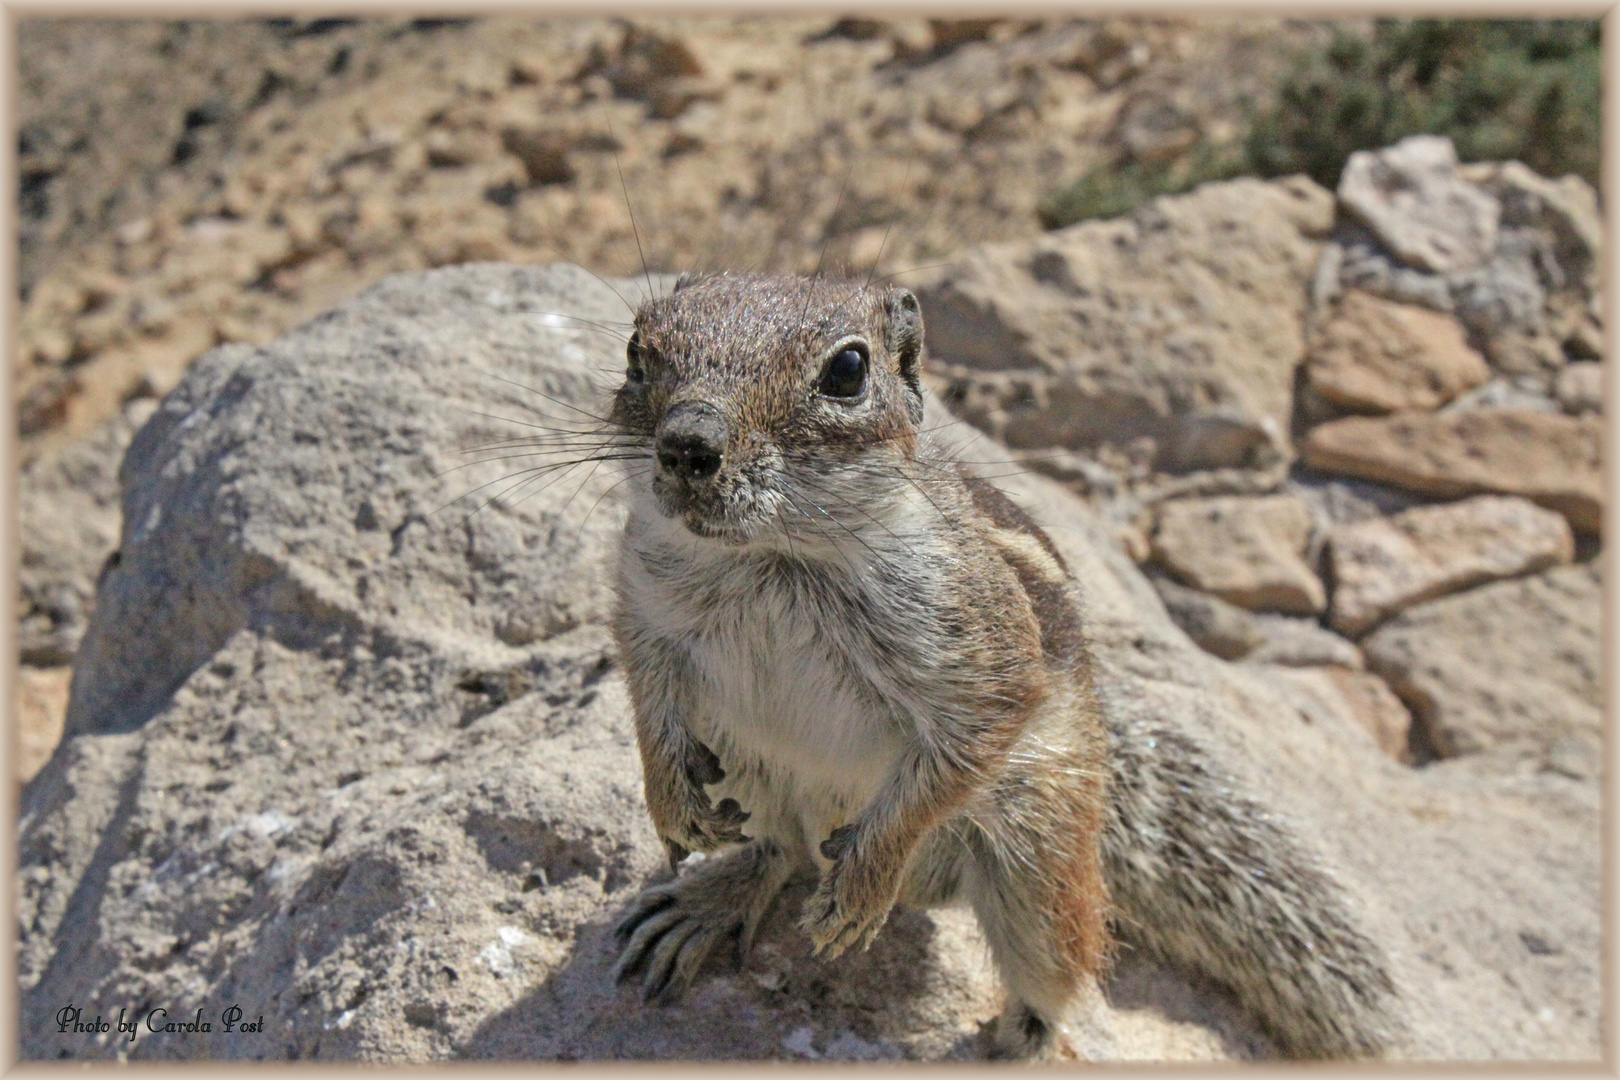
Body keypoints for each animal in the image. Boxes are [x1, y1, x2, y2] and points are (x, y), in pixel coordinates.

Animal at [602, 270, 1399, 1055]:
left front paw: (862, 887)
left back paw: (1025, 1035)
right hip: (741, 756)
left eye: (848, 370)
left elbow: (953, 759)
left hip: (1041, 851)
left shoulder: (983, 660)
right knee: (779, 851)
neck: (770, 559)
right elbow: (643, 691)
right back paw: (709, 900)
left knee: (1055, 962)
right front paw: (668, 802)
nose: (688, 442)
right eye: (638, 349)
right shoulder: (643, 605)